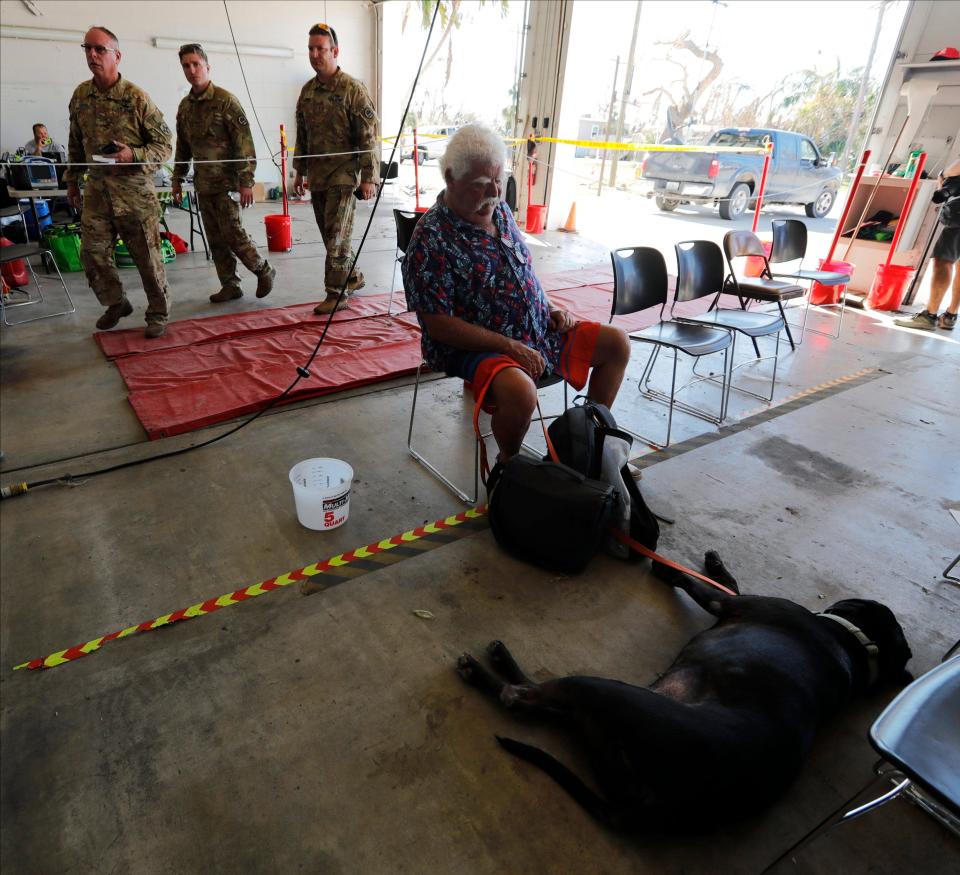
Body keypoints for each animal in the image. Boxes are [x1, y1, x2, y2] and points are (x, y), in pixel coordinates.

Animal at [454, 552, 912, 832]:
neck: (856, 643)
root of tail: (661, 809)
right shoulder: (735, 601)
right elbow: (724, 580)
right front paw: (712, 562)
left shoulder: (734, 605)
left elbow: (701, 585)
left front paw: (668, 569)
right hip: (599, 733)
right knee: (545, 705)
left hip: (605, 695)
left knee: (521, 699)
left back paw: (484, 671)